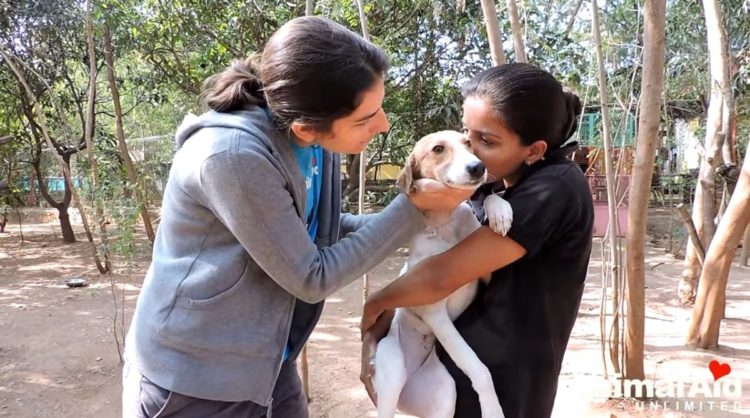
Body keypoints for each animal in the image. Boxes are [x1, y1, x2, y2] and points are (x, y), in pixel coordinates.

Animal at [374, 131, 516, 418]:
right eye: (438, 149)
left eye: (469, 143)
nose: (478, 167)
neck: (444, 223)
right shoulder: (435, 313)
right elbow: (479, 368)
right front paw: (493, 410)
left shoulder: (487, 272)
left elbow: (488, 197)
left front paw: (500, 210)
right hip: (392, 372)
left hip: (445, 396)